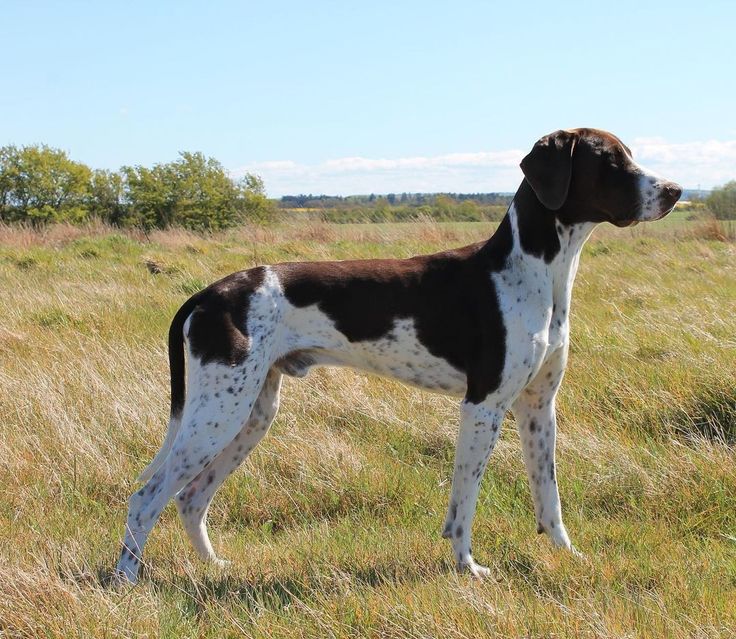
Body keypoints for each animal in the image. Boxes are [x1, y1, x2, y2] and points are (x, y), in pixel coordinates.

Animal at [115, 127, 684, 584]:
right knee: (146, 498)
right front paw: (468, 569)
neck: (534, 272)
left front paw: (568, 557)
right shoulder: (483, 407)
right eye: (609, 161)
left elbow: (550, 499)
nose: (676, 191)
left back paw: (213, 566)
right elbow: (464, 502)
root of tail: (208, 294)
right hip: (218, 413)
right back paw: (127, 579)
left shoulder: (539, 409)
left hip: (250, 414)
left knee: (190, 498)